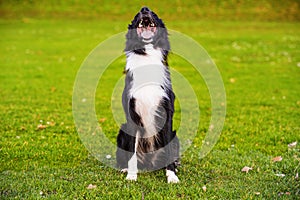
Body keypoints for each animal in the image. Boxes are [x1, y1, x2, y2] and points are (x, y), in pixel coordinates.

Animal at [116, 7, 179, 184]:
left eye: (154, 13)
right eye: (137, 15)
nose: (144, 9)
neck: (147, 56)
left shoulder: (167, 113)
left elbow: (169, 152)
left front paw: (172, 176)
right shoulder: (131, 114)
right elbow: (131, 152)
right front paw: (131, 176)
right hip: (122, 131)